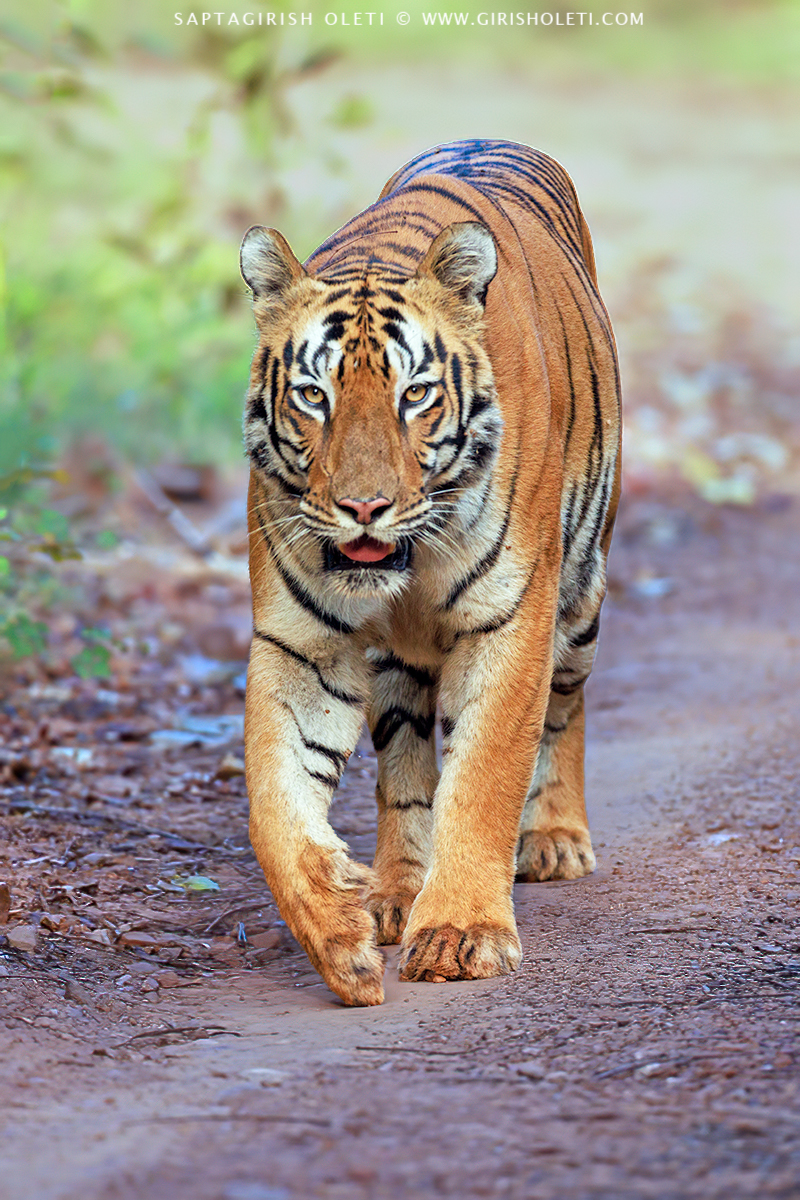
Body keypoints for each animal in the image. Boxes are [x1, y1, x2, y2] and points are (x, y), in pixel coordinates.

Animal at [240, 138, 621, 1007]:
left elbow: (485, 777)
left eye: (415, 395)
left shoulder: (514, 618)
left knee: (568, 707)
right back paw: (393, 891)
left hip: (582, 590)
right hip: (395, 665)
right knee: (406, 765)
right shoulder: (301, 643)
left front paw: (460, 935)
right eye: (312, 395)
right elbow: (274, 798)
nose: (364, 507)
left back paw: (555, 838)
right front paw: (339, 935)